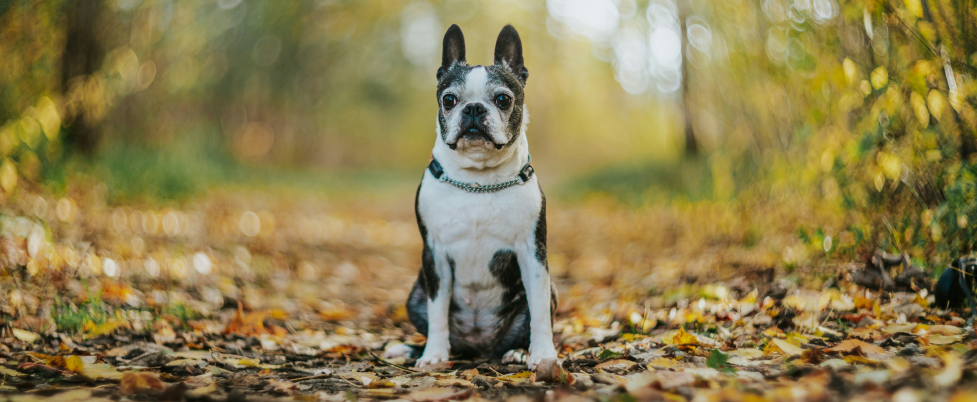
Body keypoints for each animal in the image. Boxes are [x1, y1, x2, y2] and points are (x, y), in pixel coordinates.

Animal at [394, 24, 556, 370]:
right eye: (449, 99)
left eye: (503, 99)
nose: (473, 108)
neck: (478, 181)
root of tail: (479, 347)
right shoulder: (435, 254)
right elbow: (438, 310)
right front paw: (433, 355)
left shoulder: (533, 254)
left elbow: (539, 312)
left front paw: (544, 355)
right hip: (414, 296)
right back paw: (418, 349)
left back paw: (518, 352)